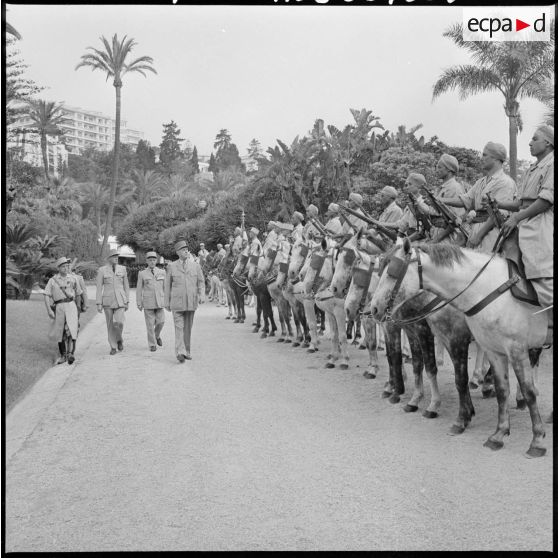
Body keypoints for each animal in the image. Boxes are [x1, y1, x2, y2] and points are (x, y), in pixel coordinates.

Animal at [372, 238, 552, 458]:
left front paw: (537, 440)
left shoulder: (503, 347)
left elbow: (527, 391)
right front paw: (496, 434)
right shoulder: (491, 349)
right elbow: (500, 390)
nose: (373, 308)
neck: (484, 289)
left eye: (393, 272)